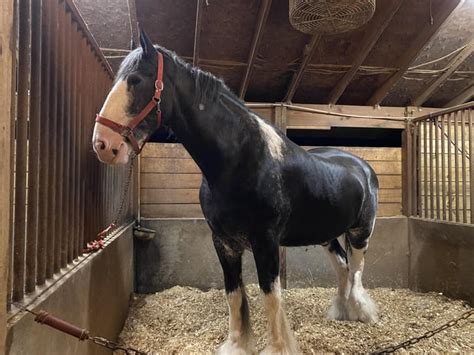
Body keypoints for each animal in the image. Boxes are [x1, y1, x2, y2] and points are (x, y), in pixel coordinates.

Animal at [92, 32, 380, 354]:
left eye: (136, 80)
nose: (103, 144)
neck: (242, 160)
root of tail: (362, 166)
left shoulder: (266, 241)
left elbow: (271, 297)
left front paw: (278, 348)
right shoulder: (224, 242)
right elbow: (234, 296)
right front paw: (237, 345)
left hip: (360, 234)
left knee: (356, 272)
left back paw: (361, 313)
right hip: (326, 236)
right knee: (343, 268)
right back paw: (342, 312)